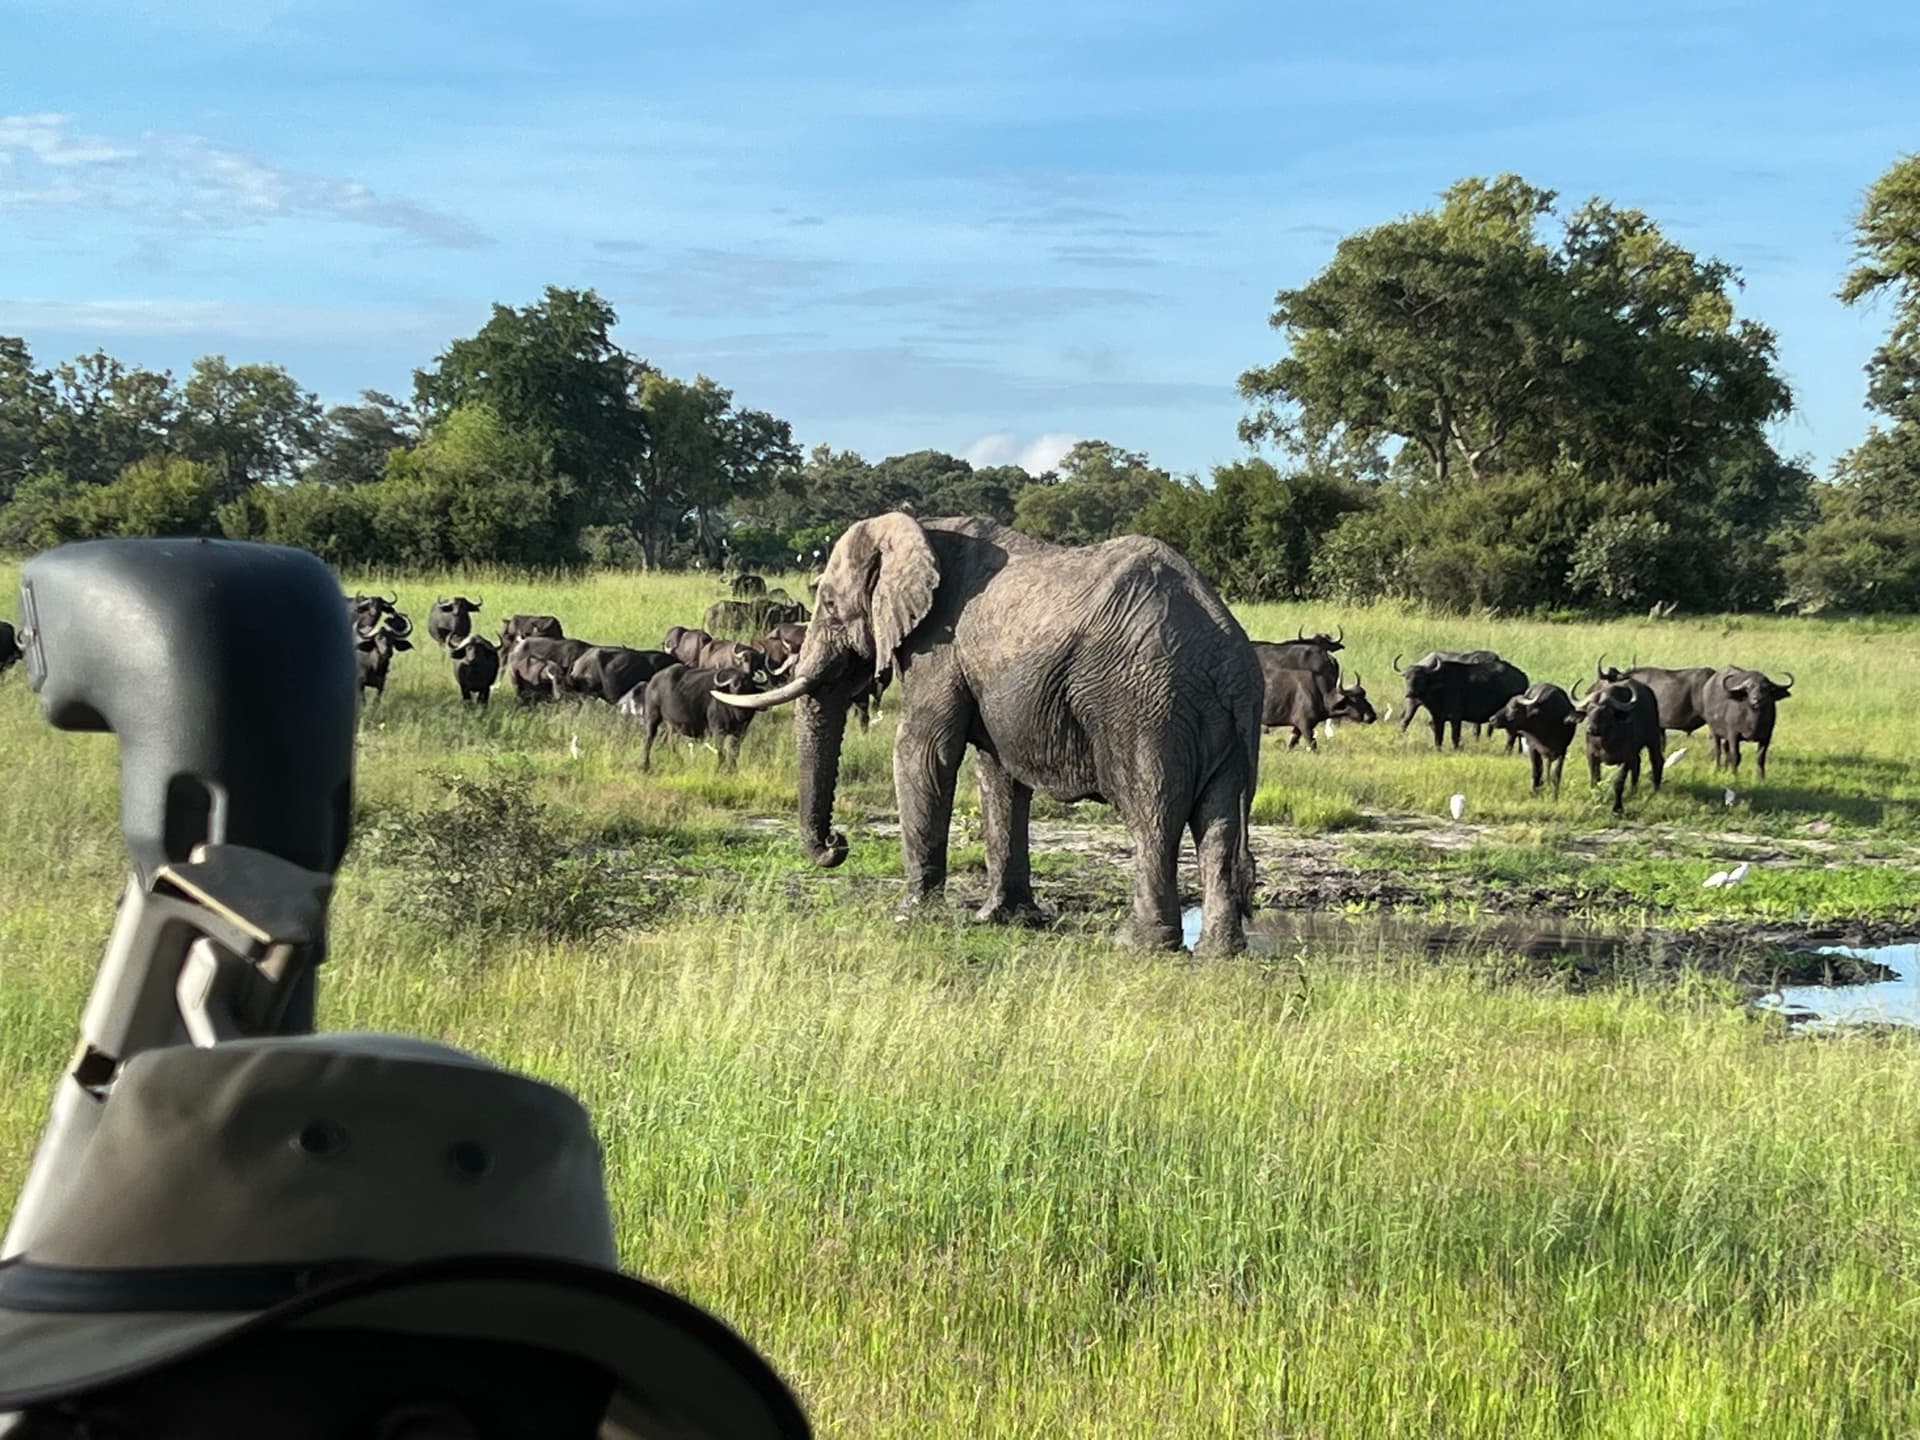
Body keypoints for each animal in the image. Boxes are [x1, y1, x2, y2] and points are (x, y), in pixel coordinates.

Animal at [623, 663, 767, 772]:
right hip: (652, 716)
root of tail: (652, 681)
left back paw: (679, 761)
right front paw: (720, 769)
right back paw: (645, 766)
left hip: (672, 725)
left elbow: (734, 751)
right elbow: (720, 750)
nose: (737, 689)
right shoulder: (717, 729)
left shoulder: (741, 731)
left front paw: (733, 770)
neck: (736, 711)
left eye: (747, 684)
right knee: (648, 740)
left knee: (669, 741)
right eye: (733, 684)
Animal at [717, 514, 1263, 955]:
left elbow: (923, 751)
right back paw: (1220, 952)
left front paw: (910, 911)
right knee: (1217, 824)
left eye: (829, 604)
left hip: (1142, 707)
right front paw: (1002, 918)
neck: (919, 528)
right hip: (1221, 725)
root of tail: (1228, 654)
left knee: (1152, 814)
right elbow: (998, 774)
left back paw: (1138, 944)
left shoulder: (938, 645)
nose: (836, 842)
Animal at [1392, 650, 1528, 749]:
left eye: (1421, 678)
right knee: (1405, 720)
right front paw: (1438, 749)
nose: (1410, 693)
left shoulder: (1455, 717)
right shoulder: (1438, 717)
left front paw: (1455, 748)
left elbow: (1455, 736)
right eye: (1407, 677)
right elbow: (1438, 736)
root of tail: (1523, 677)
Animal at [1573, 676, 1664, 814]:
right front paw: (1596, 800)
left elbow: (1618, 782)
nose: (1591, 729)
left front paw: (1617, 808)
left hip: (1653, 738)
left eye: (1606, 711)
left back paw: (1655, 790)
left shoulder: (1626, 757)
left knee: (1657, 760)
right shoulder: (1591, 755)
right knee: (1637, 762)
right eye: (1589, 710)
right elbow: (1595, 780)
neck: (1606, 742)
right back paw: (1633, 791)